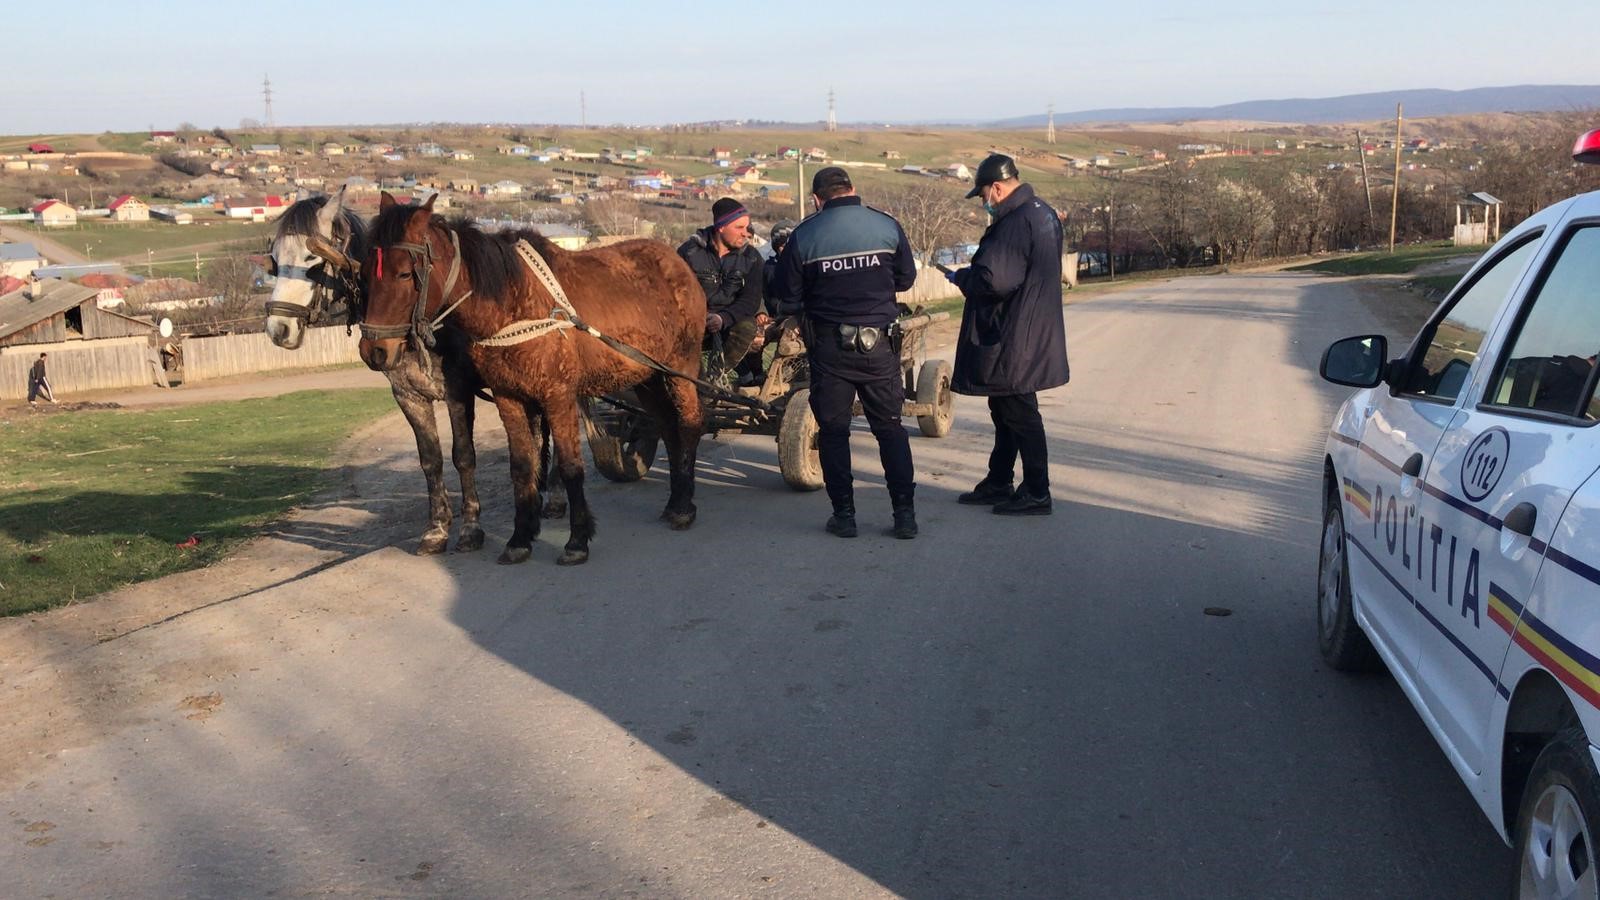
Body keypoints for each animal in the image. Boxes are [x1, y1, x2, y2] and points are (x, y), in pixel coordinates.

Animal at [356, 192, 707, 563]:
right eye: (364, 274)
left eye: (404, 273)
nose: (374, 350)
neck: (513, 305)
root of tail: (677, 263)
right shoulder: (508, 396)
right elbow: (523, 465)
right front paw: (520, 537)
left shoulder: (557, 396)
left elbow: (570, 466)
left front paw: (577, 539)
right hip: (648, 376)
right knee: (668, 427)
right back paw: (674, 500)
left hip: (681, 369)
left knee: (689, 423)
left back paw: (684, 505)